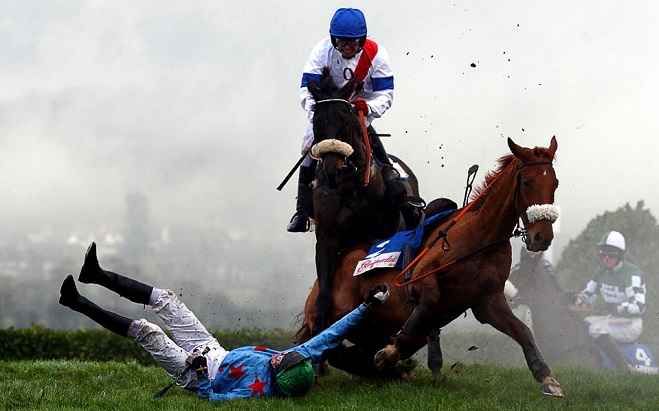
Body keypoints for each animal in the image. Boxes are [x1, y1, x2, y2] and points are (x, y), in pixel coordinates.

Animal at [296, 137, 564, 398]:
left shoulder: (488, 301)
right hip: (339, 312)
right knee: (329, 348)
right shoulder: (421, 278)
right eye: (527, 182)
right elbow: (425, 305)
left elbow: (523, 331)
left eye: (555, 183)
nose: (542, 237)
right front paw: (390, 354)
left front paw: (547, 378)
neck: (480, 236)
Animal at [306, 67, 422, 338]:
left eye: (346, 121)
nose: (332, 172)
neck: (350, 189)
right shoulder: (326, 239)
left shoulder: (381, 239)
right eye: (317, 122)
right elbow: (323, 297)